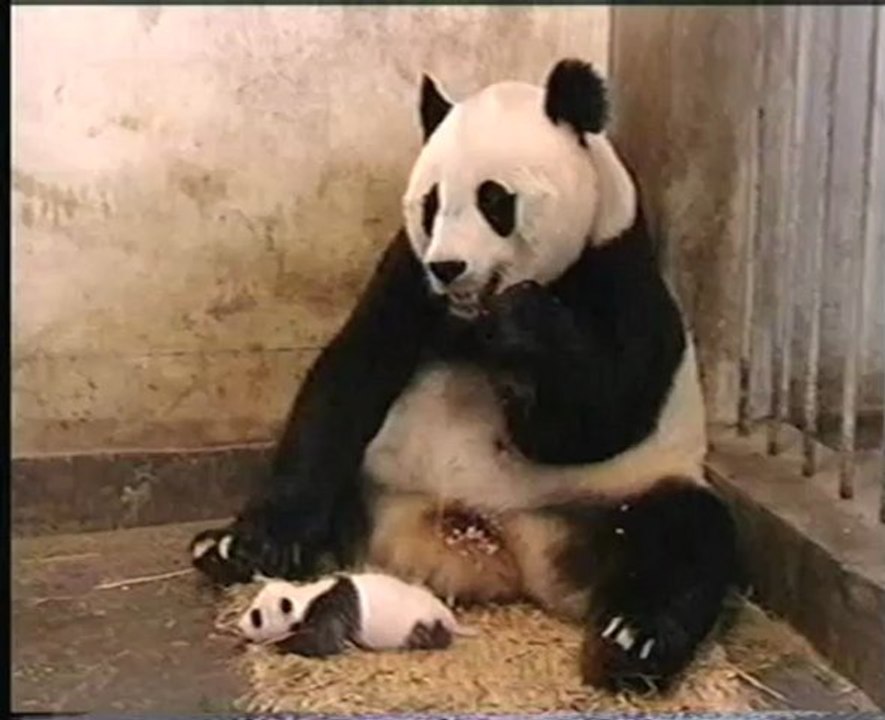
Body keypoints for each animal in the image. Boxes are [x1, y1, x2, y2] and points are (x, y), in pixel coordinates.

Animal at [190, 58, 738, 693]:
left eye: (494, 199)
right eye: (431, 203)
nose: (449, 267)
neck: (470, 312)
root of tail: (498, 551)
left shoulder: (619, 271)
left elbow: (599, 420)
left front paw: (524, 330)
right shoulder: (407, 273)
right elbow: (349, 377)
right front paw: (258, 542)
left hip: (616, 497)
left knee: (686, 537)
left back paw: (630, 642)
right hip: (375, 482)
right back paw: (226, 550)